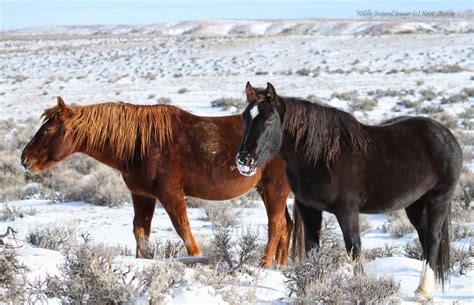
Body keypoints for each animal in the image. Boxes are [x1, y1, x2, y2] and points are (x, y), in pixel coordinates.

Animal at [21, 97, 292, 266]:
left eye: (48, 130)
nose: (25, 159)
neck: (140, 144)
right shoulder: (142, 195)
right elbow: (141, 232)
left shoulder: (170, 193)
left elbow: (183, 230)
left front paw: (198, 259)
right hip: (268, 190)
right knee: (286, 227)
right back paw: (281, 266)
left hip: (274, 188)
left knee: (276, 226)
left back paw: (265, 266)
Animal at [237, 82, 462, 300]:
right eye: (244, 118)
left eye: (268, 120)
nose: (244, 160)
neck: (320, 158)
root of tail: (447, 135)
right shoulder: (309, 209)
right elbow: (312, 248)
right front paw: (311, 289)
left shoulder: (347, 211)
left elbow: (353, 248)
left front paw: (361, 288)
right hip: (415, 205)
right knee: (424, 238)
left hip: (438, 200)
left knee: (433, 239)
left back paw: (424, 291)